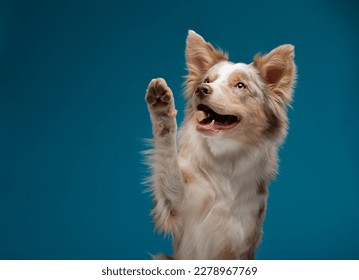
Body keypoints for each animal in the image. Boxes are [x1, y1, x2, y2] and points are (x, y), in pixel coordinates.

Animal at [145, 30, 296, 260]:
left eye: (240, 86)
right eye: (207, 80)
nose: (201, 89)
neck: (225, 156)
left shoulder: (241, 240)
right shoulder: (178, 204)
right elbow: (168, 160)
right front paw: (162, 109)